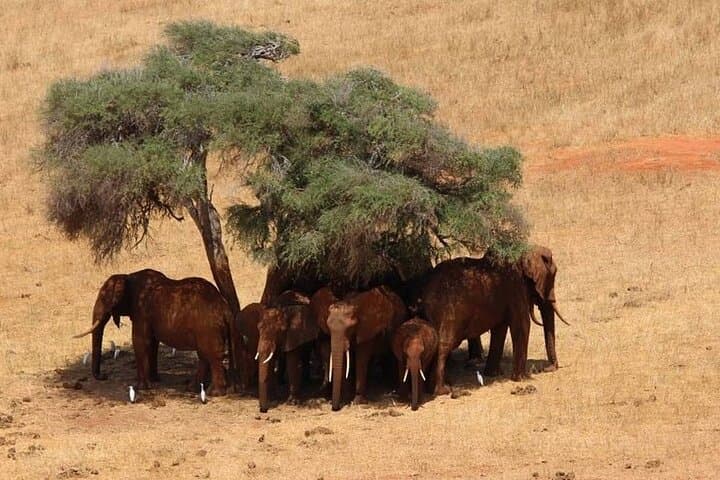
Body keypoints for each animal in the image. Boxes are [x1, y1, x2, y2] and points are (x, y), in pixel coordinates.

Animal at [73, 269, 234, 396]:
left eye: (103, 297)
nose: (104, 376)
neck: (127, 276)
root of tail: (225, 308)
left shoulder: (141, 310)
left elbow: (140, 340)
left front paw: (141, 387)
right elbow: (152, 343)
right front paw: (154, 380)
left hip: (208, 328)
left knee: (211, 355)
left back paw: (214, 393)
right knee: (204, 356)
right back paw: (192, 388)